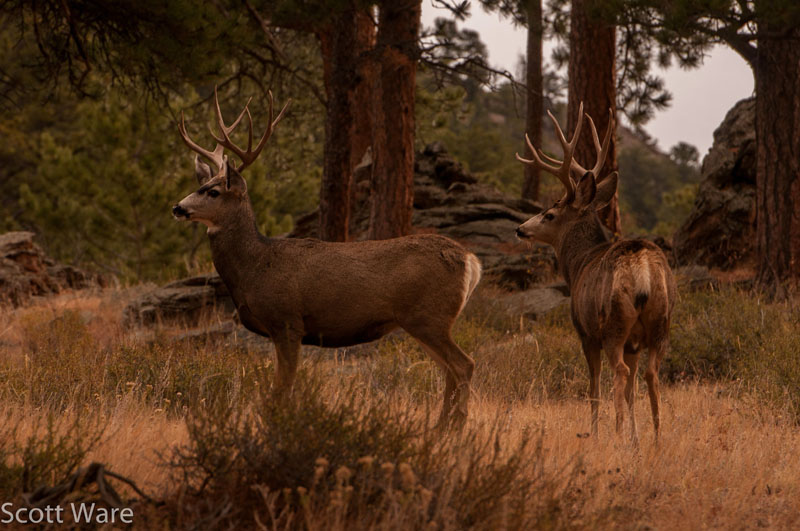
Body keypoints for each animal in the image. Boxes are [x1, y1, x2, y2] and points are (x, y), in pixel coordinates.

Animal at [171, 88, 482, 426]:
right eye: (199, 185)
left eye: (213, 191)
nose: (177, 207)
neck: (255, 266)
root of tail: (470, 260)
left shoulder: (287, 321)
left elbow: (282, 390)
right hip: (425, 321)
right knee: (449, 371)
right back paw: (440, 427)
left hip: (429, 316)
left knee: (463, 365)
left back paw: (455, 426)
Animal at [514, 104, 676, 443]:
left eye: (549, 214)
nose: (520, 228)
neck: (577, 265)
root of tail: (642, 268)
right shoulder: (634, 343)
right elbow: (631, 393)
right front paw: (635, 439)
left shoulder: (585, 332)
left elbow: (593, 389)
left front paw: (598, 433)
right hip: (661, 322)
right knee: (650, 374)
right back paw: (656, 439)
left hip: (613, 322)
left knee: (620, 373)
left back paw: (615, 434)